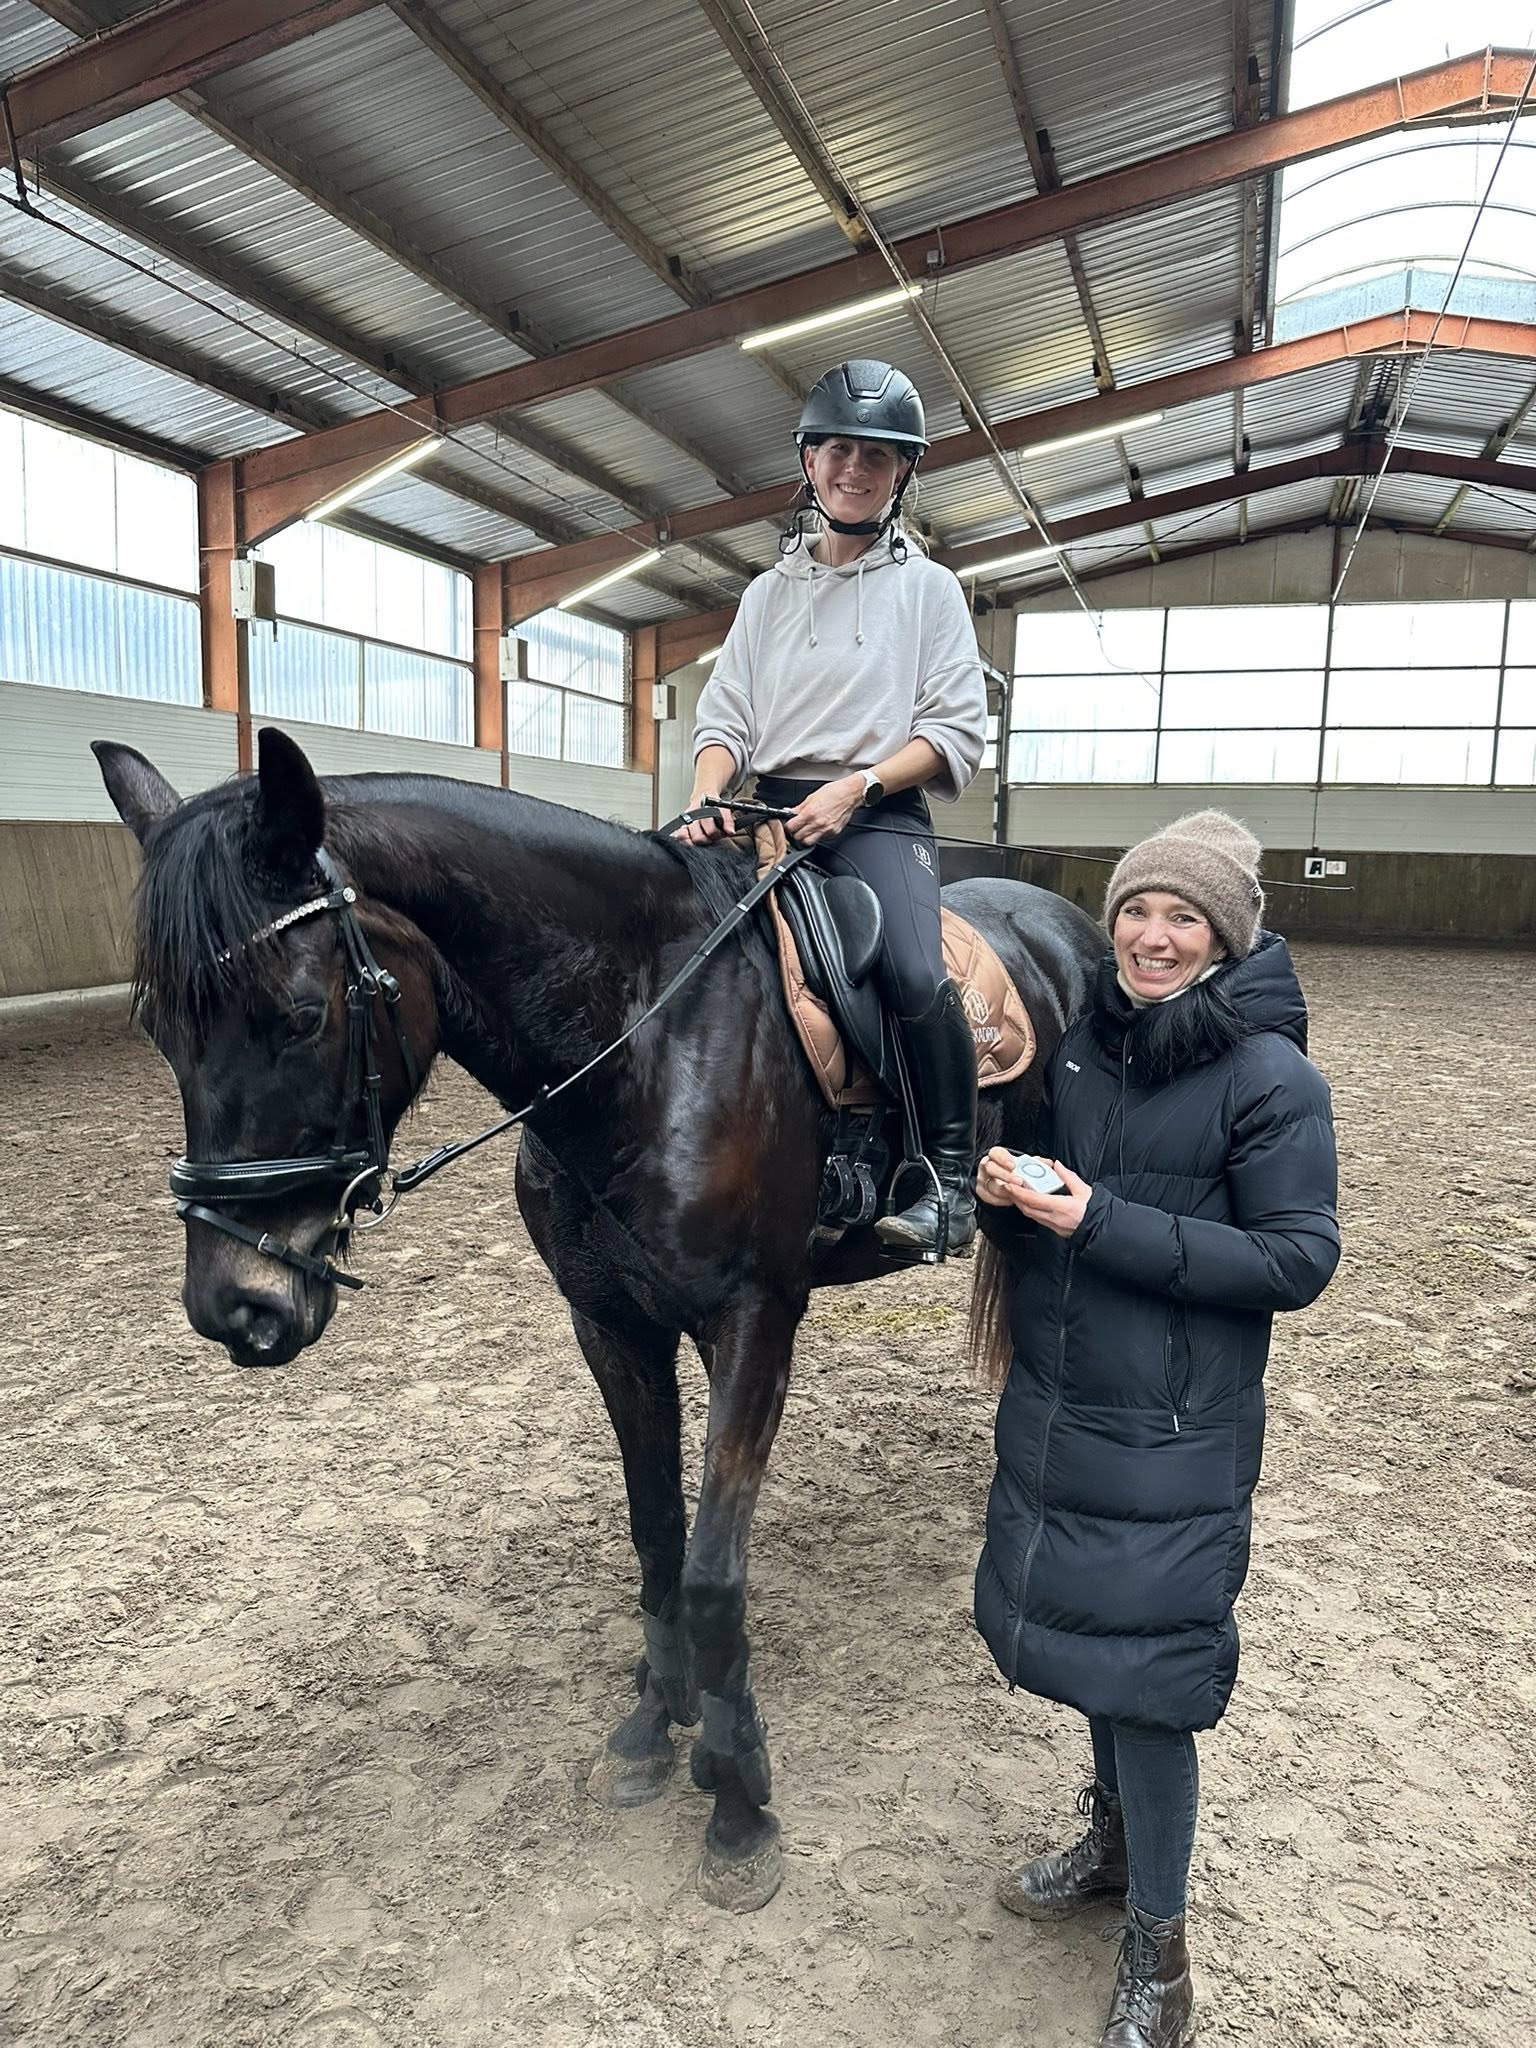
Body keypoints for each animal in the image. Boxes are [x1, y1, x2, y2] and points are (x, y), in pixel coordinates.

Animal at [94, 725, 1102, 1912]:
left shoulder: (754, 1323)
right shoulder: (611, 1324)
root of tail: (1068, 920)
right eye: (158, 1028)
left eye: (298, 1017)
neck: (645, 1041)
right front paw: (651, 1727)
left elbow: (711, 1573)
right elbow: (657, 1537)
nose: (235, 1307)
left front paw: (739, 1799)